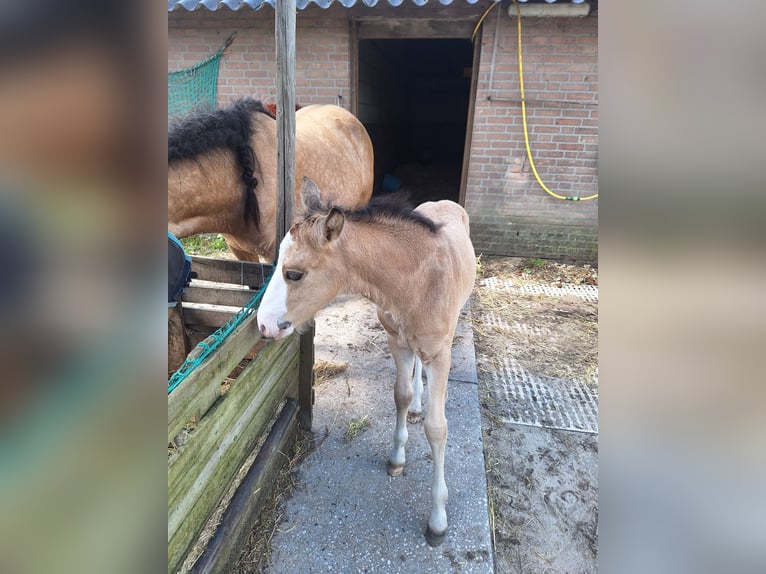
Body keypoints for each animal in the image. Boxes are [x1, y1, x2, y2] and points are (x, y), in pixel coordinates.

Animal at [255, 179, 476, 544]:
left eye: (294, 274)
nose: (263, 325)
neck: (417, 281)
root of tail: (445, 201)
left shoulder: (440, 353)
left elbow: (437, 427)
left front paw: (438, 520)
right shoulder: (396, 341)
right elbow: (400, 395)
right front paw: (397, 458)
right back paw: (417, 405)